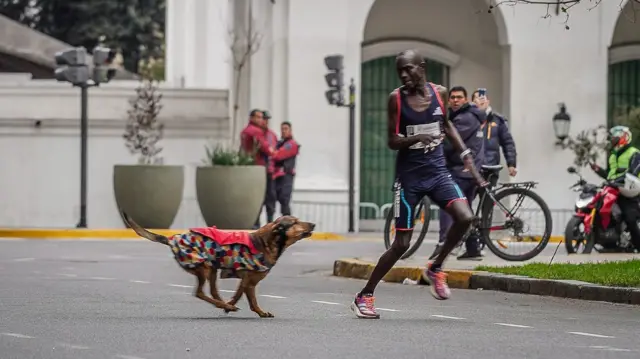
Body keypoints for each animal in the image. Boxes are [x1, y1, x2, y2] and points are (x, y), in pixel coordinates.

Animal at [120, 211, 316, 318]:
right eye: (295, 222)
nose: (314, 224)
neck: (268, 242)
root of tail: (172, 239)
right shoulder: (250, 281)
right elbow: (250, 299)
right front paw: (253, 310)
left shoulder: (246, 281)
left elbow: (242, 296)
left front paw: (237, 306)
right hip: (204, 267)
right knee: (200, 293)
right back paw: (224, 305)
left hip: (212, 267)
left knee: (213, 292)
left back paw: (223, 304)